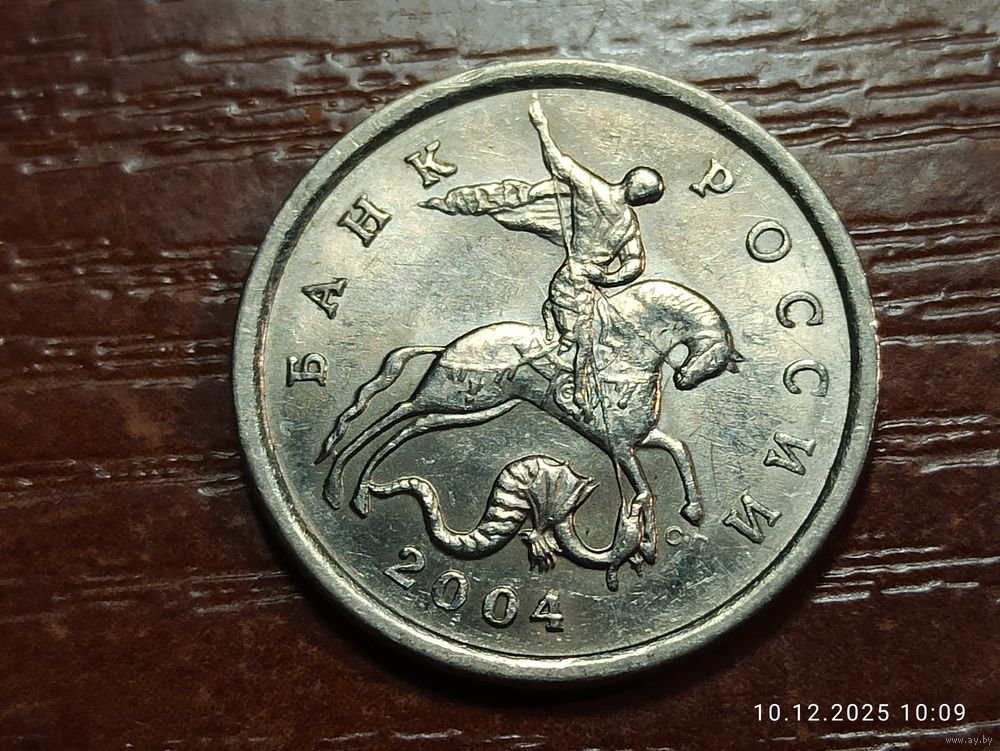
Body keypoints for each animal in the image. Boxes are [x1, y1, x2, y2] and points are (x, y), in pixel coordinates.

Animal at [315, 279, 742, 576]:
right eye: (713, 353)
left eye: (719, 363)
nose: (685, 380)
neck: (624, 357)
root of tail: (449, 346)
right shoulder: (620, 447)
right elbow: (646, 491)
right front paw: (648, 544)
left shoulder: (637, 439)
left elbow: (678, 450)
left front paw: (691, 510)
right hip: (449, 397)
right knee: (396, 412)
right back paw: (339, 485)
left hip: (475, 409)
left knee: (412, 426)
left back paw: (359, 490)